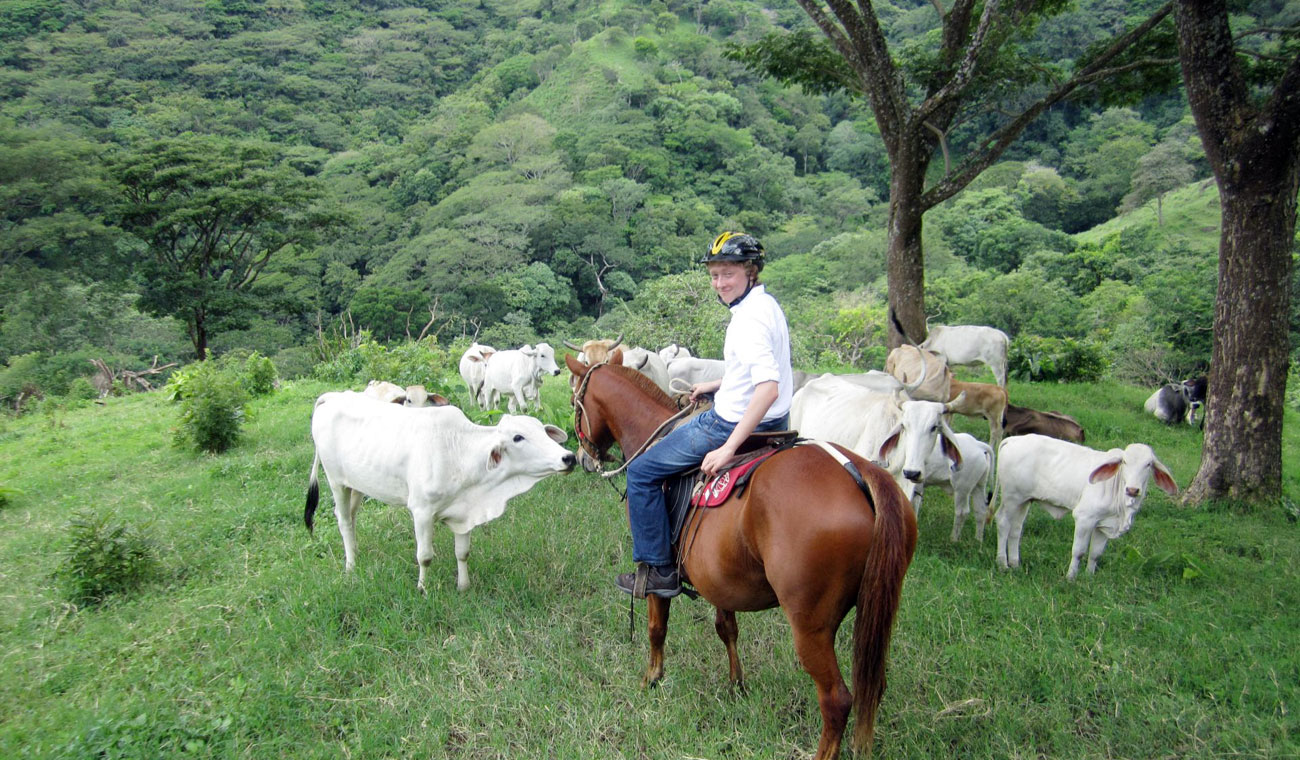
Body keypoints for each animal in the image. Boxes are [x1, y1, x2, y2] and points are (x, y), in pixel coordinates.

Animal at [304, 392, 574, 592]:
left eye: (543, 430)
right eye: (518, 437)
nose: (568, 457)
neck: (460, 453)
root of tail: (332, 397)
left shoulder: (464, 513)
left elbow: (463, 553)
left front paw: (463, 587)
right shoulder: (421, 511)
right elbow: (425, 556)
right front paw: (422, 589)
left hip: (357, 485)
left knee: (351, 517)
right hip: (336, 481)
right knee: (343, 520)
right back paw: (350, 565)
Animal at [566, 355, 915, 758]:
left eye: (575, 400)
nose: (583, 458)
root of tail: (862, 472)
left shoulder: (654, 567)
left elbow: (657, 627)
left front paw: (652, 677)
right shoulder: (718, 576)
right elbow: (726, 628)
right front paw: (736, 684)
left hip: (810, 626)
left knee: (837, 699)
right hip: (876, 611)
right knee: (873, 686)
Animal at [993, 436, 1180, 576]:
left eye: (1148, 464)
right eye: (1125, 462)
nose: (1133, 490)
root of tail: (1013, 439)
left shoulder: (1103, 525)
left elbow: (1095, 554)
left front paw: (1089, 577)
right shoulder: (1084, 518)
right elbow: (1079, 551)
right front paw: (1070, 578)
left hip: (1024, 501)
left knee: (1016, 529)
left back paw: (1015, 564)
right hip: (1011, 497)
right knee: (1002, 522)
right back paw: (1002, 564)